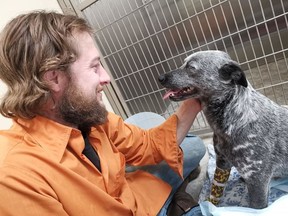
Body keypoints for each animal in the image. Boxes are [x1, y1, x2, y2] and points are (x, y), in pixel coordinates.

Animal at [159, 49, 288, 208]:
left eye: (191, 67)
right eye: (183, 63)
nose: (160, 77)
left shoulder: (257, 180)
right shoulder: (222, 163)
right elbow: (215, 192)